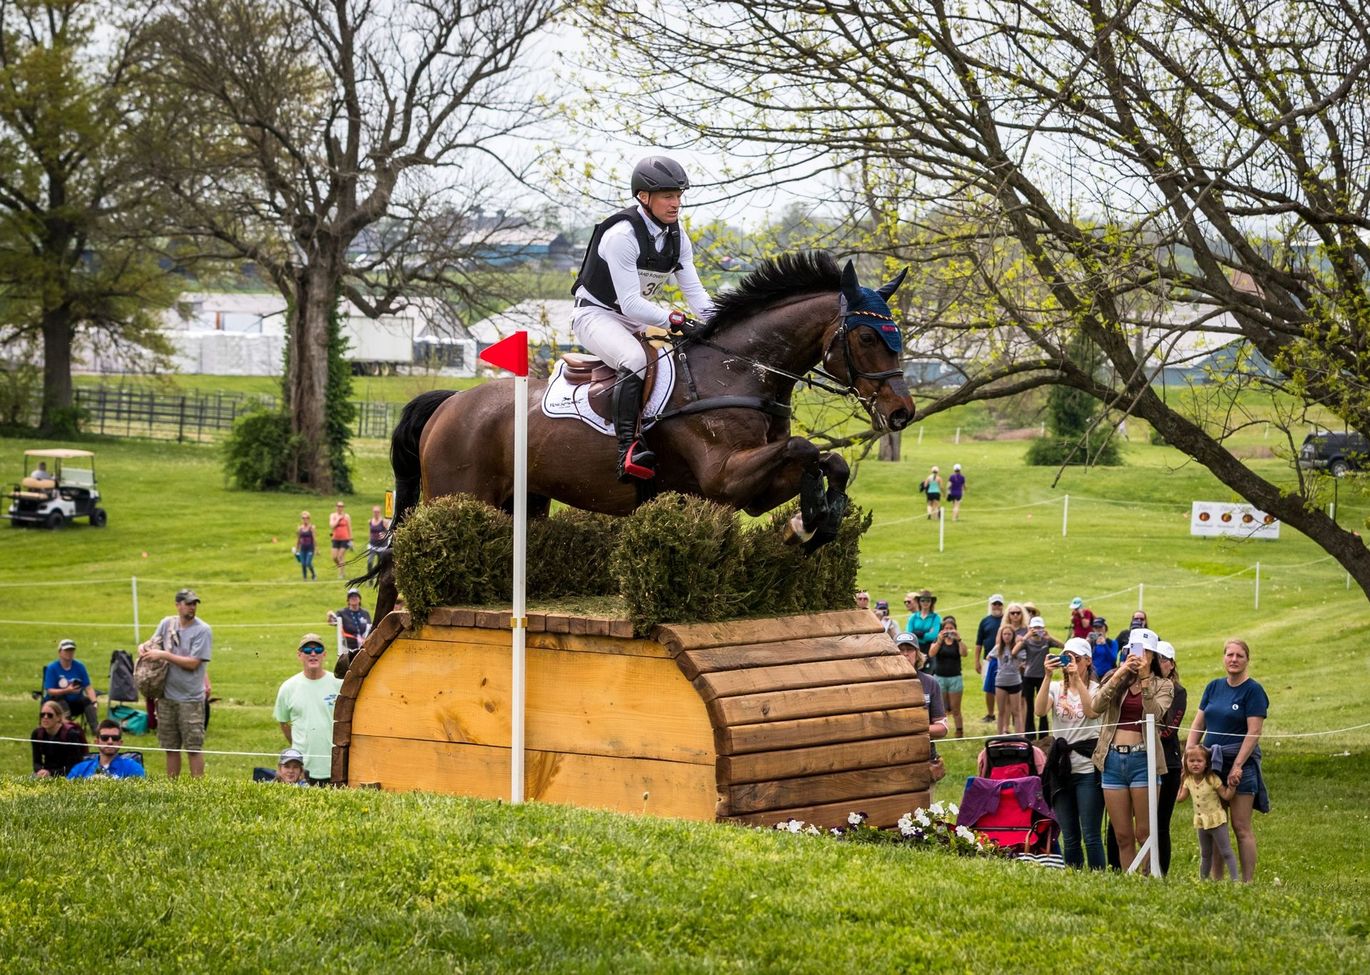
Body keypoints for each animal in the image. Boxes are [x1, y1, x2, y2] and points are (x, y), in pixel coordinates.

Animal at [369, 251, 915, 616]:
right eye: (868, 336)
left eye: (899, 337)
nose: (902, 413)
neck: (737, 372)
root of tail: (450, 403)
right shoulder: (725, 477)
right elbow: (804, 446)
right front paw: (810, 519)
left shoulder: (747, 490)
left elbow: (827, 460)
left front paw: (814, 522)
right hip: (454, 494)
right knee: (397, 568)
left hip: (519, 503)